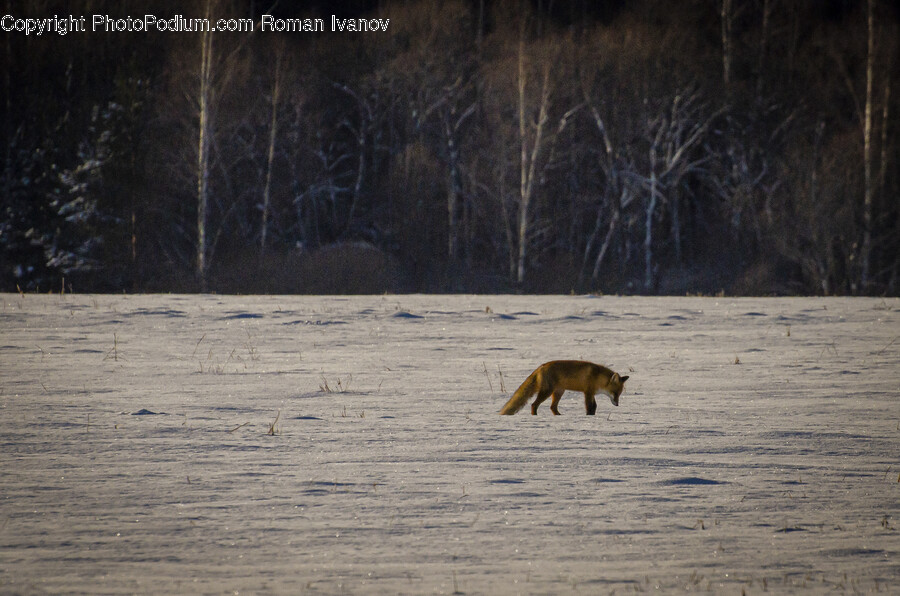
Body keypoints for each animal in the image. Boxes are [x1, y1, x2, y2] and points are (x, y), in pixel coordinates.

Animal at [499, 360, 629, 415]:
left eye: (619, 394)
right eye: (615, 393)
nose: (617, 405)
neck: (597, 377)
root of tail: (541, 366)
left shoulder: (592, 393)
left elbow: (594, 406)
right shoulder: (587, 392)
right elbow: (589, 406)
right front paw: (589, 416)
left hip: (559, 392)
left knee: (552, 407)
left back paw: (559, 416)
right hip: (547, 391)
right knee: (534, 405)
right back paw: (535, 416)